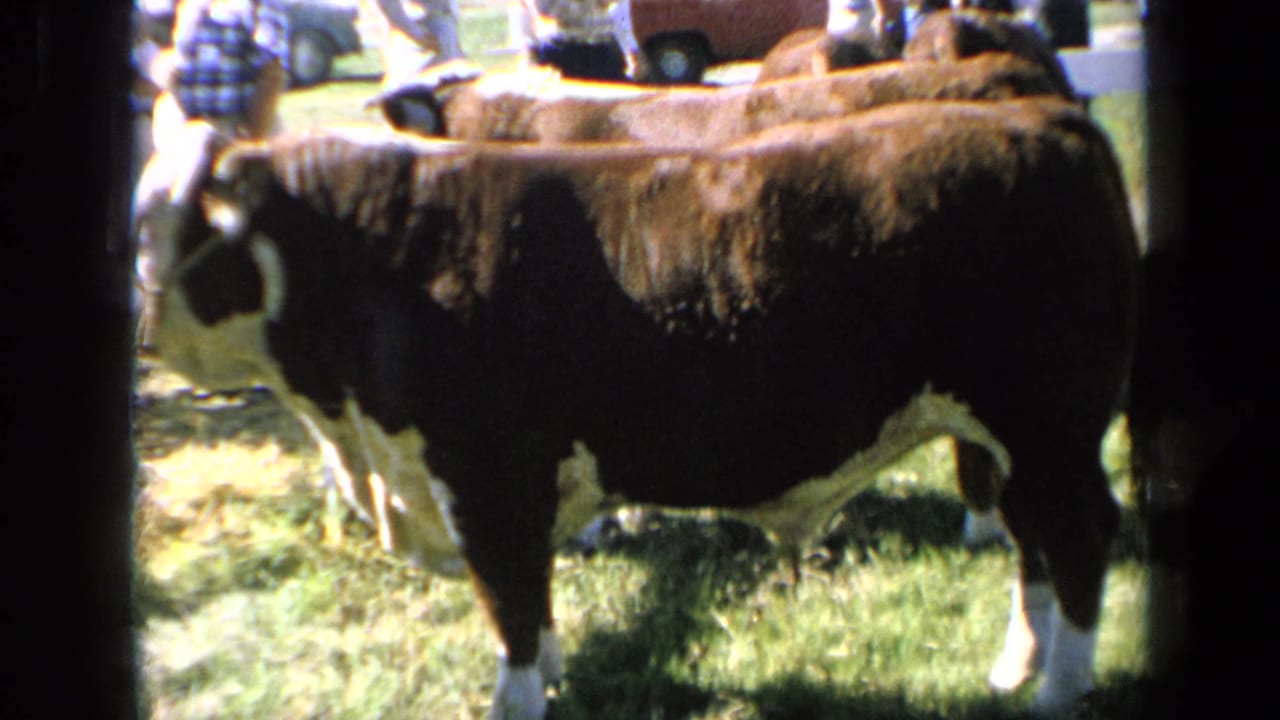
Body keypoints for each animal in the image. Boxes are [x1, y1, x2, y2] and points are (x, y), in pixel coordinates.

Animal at [136, 96, 1139, 719]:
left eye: (160, 224)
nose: (138, 331)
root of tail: (1040, 118)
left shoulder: (484, 477)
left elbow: (510, 604)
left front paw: (519, 701)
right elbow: (535, 607)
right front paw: (554, 676)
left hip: (1050, 423)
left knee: (1079, 536)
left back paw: (1059, 691)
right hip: (1011, 437)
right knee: (1032, 542)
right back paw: (1016, 669)